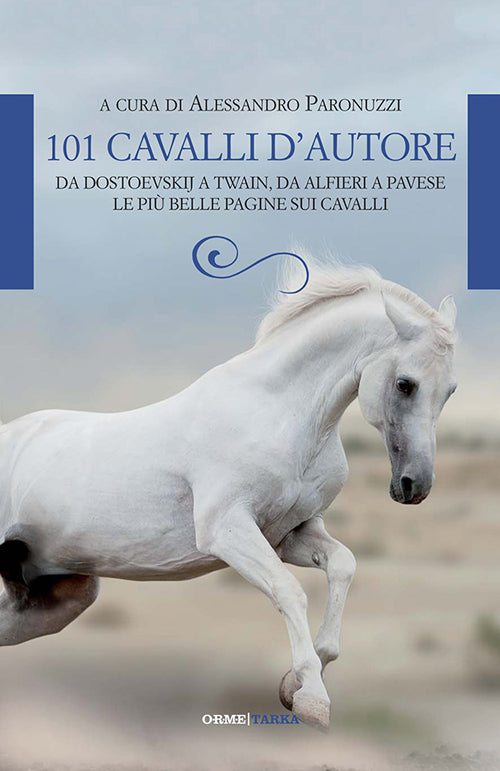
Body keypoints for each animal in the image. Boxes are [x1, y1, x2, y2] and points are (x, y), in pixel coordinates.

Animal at [0, 260, 457, 729]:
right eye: (405, 384)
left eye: (451, 389)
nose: (414, 486)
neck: (282, 417)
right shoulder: (227, 530)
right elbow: (289, 591)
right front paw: (311, 696)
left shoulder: (289, 533)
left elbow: (344, 565)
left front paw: (296, 682)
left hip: (65, 592)